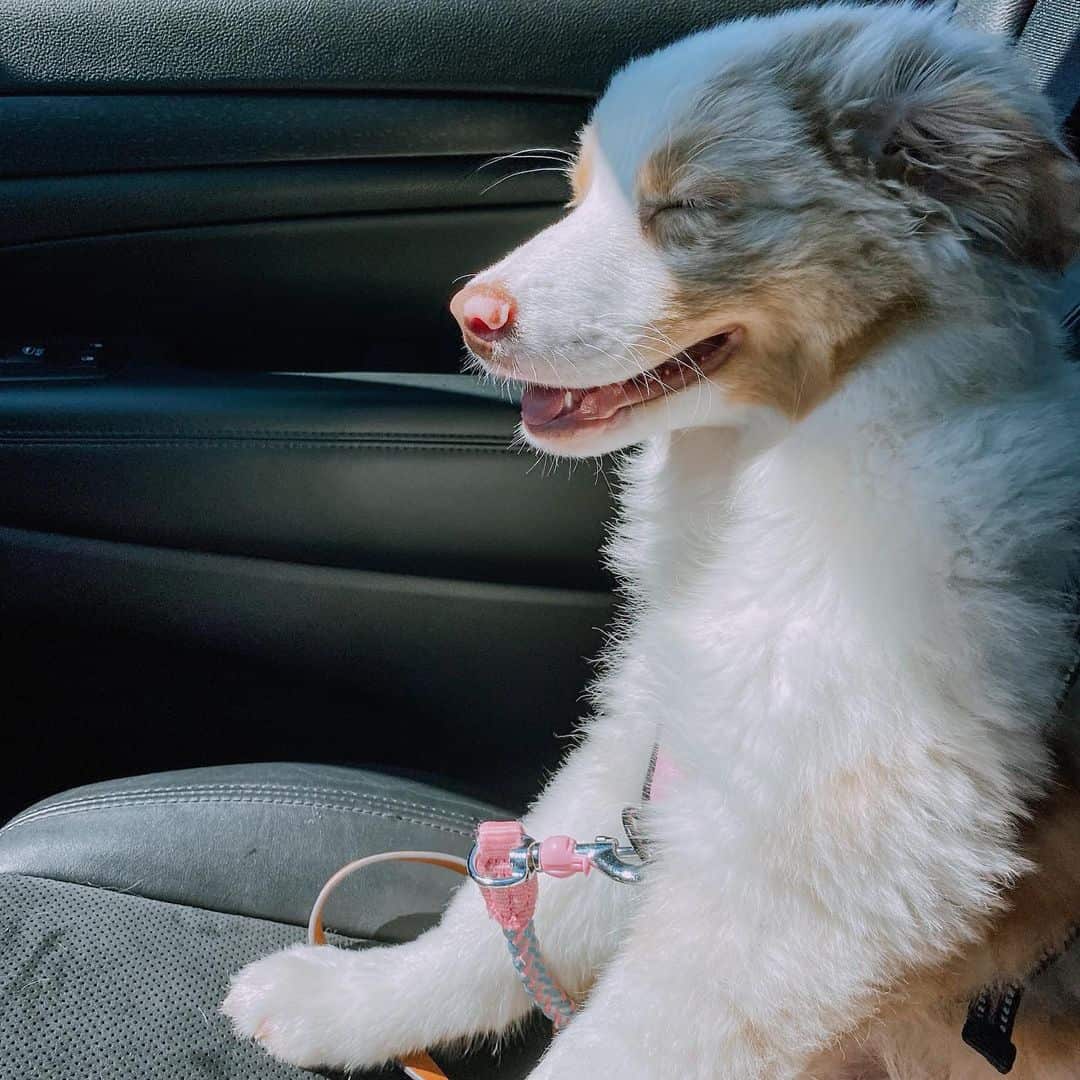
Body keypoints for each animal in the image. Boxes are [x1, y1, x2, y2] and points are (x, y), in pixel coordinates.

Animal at [223, 4, 1080, 1075]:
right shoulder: (651, 736)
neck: (782, 464)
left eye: (686, 206)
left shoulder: (822, 869)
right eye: (578, 193)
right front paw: (346, 1000)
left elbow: (623, 1040)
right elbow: (504, 920)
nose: (470, 315)